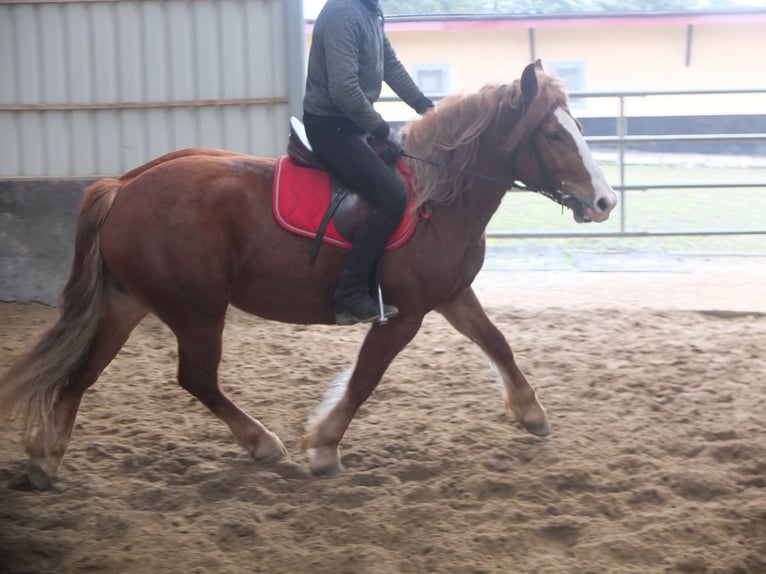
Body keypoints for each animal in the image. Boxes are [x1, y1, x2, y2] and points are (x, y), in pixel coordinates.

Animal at [0, 59, 616, 490]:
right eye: (554, 135)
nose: (605, 201)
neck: (438, 197)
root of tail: (124, 186)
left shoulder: (452, 296)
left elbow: (497, 341)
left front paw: (531, 413)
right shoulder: (403, 314)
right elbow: (365, 379)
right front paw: (323, 447)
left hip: (127, 302)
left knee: (81, 375)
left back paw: (46, 460)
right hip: (196, 310)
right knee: (195, 378)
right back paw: (261, 443)